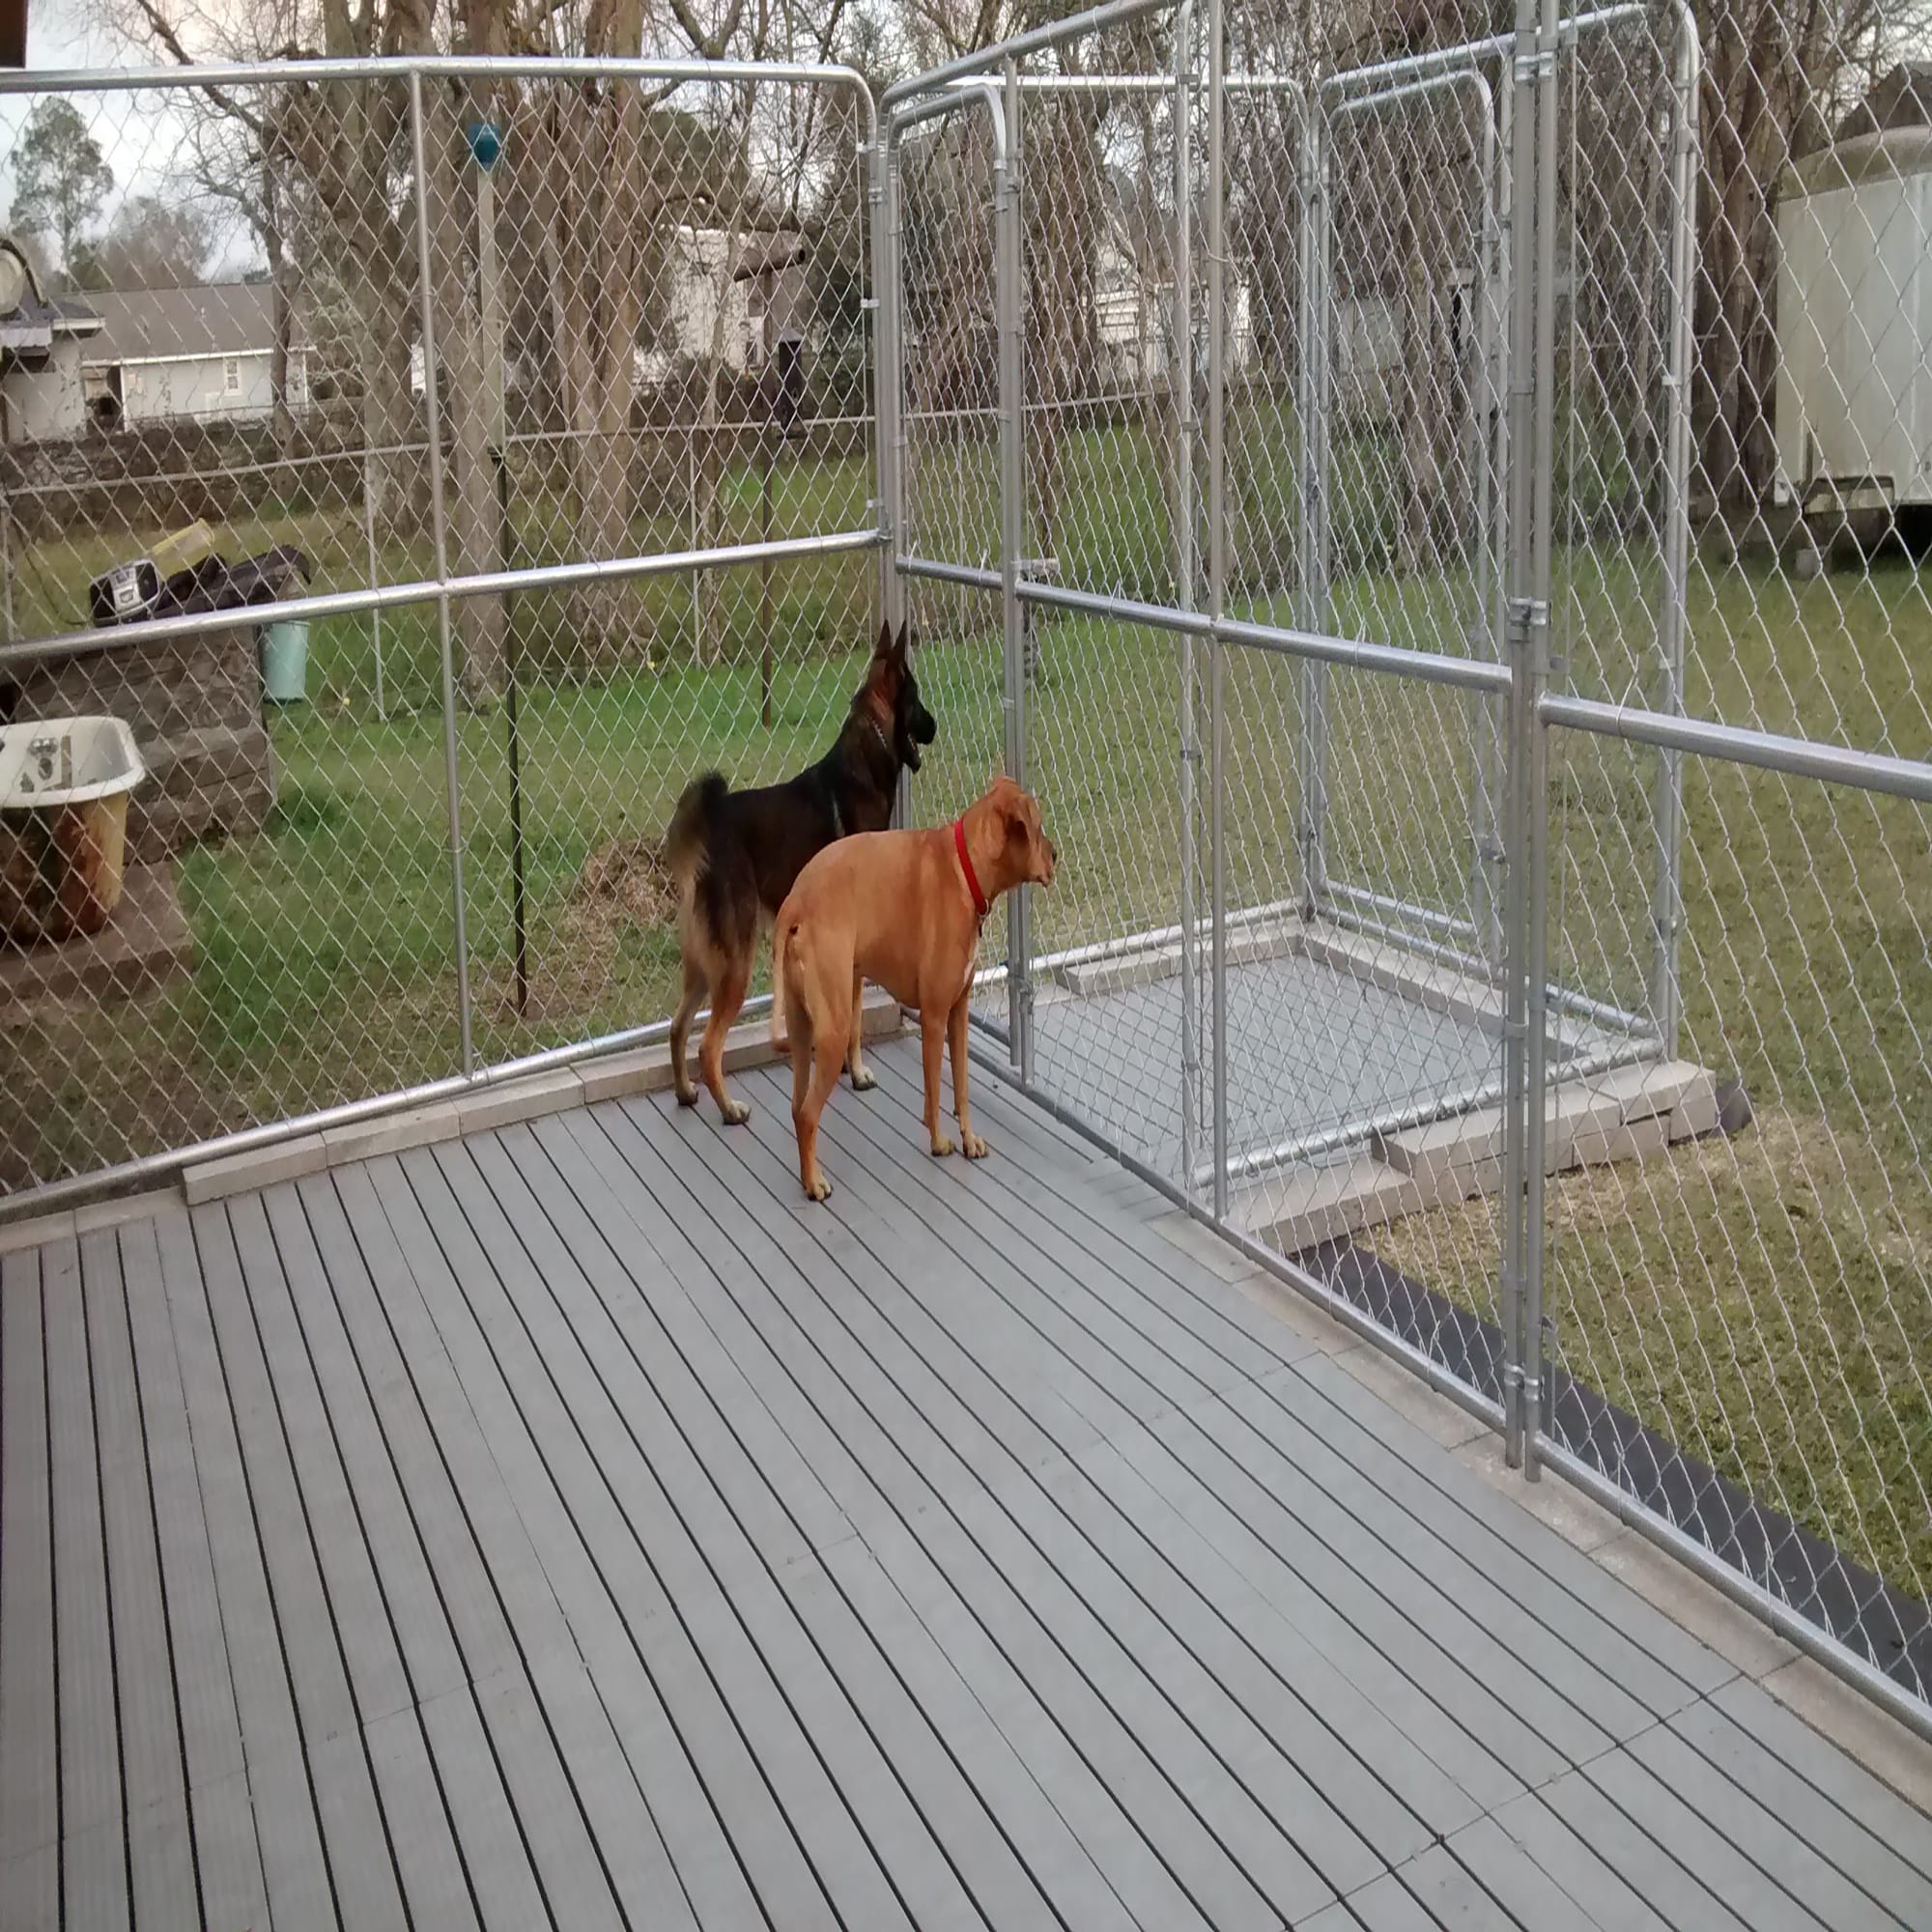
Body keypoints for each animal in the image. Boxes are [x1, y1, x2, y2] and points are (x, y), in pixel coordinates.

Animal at [665, 618, 935, 1128]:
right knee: (707, 1045)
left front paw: (847, 1069)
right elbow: (853, 1019)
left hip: (704, 965)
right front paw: (858, 1072)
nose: (935, 726)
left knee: (676, 1027)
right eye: (917, 700)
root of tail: (713, 823)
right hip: (736, 961)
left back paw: (687, 1093)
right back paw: (728, 1109)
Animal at [773, 777, 1059, 1198]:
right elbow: (935, 1091)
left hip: (801, 1027)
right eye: (1037, 827)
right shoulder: (935, 1017)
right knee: (808, 1113)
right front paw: (939, 1143)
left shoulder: (958, 1015)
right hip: (834, 1030)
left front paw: (969, 1139)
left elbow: (961, 1088)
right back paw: (814, 1183)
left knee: (795, 1107)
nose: (1056, 855)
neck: (966, 869)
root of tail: (796, 899)